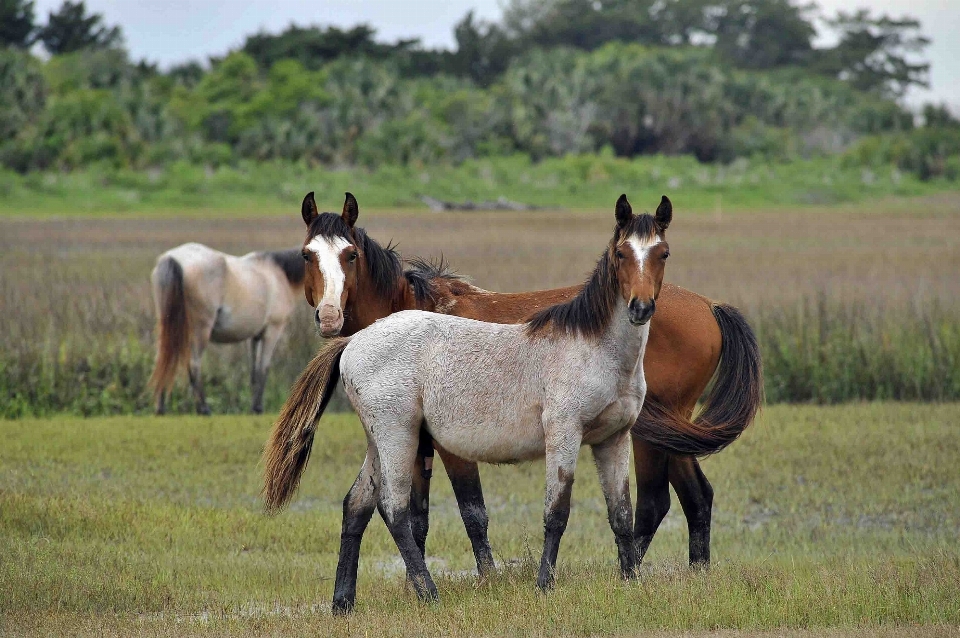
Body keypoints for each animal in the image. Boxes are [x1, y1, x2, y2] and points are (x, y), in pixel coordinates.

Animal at [149, 244, 304, 416]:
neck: (280, 273)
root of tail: (173, 258)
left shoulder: (254, 337)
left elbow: (254, 372)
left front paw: (253, 408)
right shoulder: (272, 331)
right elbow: (263, 368)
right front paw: (258, 408)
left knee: (163, 360)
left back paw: (160, 408)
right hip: (200, 330)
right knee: (194, 364)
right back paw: (203, 409)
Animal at [282, 191, 760, 576]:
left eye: (350, 255)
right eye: (306, 255)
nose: (329, 317)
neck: (409, 306)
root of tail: (709, 305)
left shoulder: (451, 447)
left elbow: (472, 512)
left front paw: (488, 579)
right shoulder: (420, 442)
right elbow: (418, 517)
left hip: (654, 433)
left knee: (657, 502)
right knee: (695, 496)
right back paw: (696, 571)